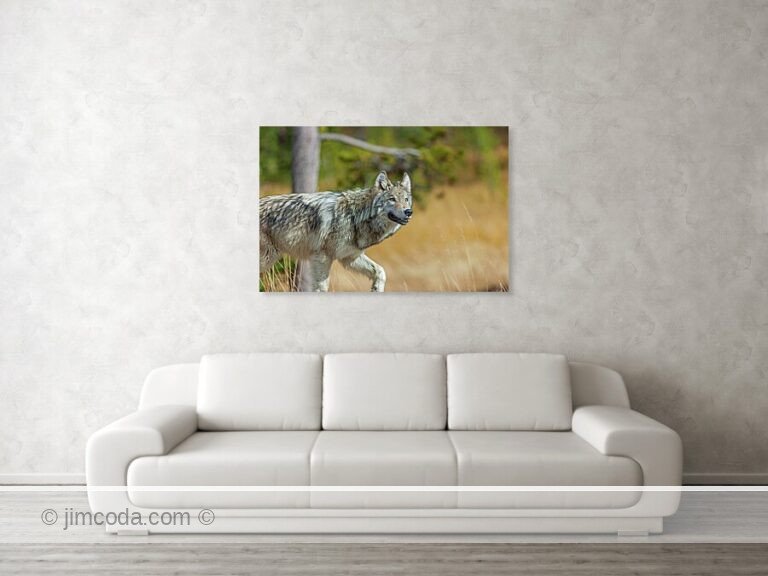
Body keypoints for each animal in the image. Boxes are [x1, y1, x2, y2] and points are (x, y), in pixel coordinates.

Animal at [260, 171, 413, 291]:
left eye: (406, 199)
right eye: (392, 199)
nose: (408, 212)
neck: (354, 217)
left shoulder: (350, 257)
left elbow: (381, 271)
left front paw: (376, 290)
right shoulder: (322, 258)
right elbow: (321, 287)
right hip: (266, 259)